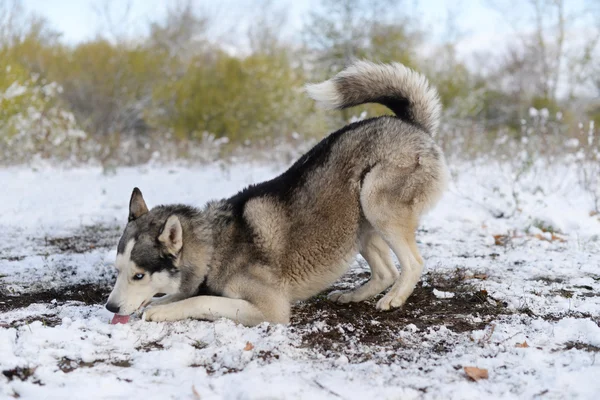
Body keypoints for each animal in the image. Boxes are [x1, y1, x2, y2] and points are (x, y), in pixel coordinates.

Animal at [105, 61, 448, 326]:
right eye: (118, 271)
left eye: (139, 276)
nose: (110, 307)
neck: (215, 247)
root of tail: (411, 125)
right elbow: (178, 295)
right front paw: (158, 303)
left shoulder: (270, 309)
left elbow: (198, 301)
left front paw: (163, 311)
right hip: (357, 223)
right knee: (386, 271)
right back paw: (353, 295)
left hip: (374, 200)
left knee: (412, 263)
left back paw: (394, 298)